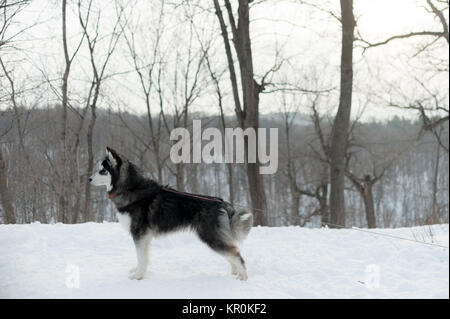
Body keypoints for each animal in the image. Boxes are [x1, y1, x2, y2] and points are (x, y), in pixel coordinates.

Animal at [89, 148, 253, 280]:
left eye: (102, 171)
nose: (89, 179)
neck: (130, 188)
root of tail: (222, 202)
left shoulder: (139, 233)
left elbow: (141, 256)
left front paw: (138, 276)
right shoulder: (144, 236)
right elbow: (143, 257)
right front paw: (138, 271)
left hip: (211, 236)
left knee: (236, 254)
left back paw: (243, 276)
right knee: (232, 251)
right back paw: (235, 273)